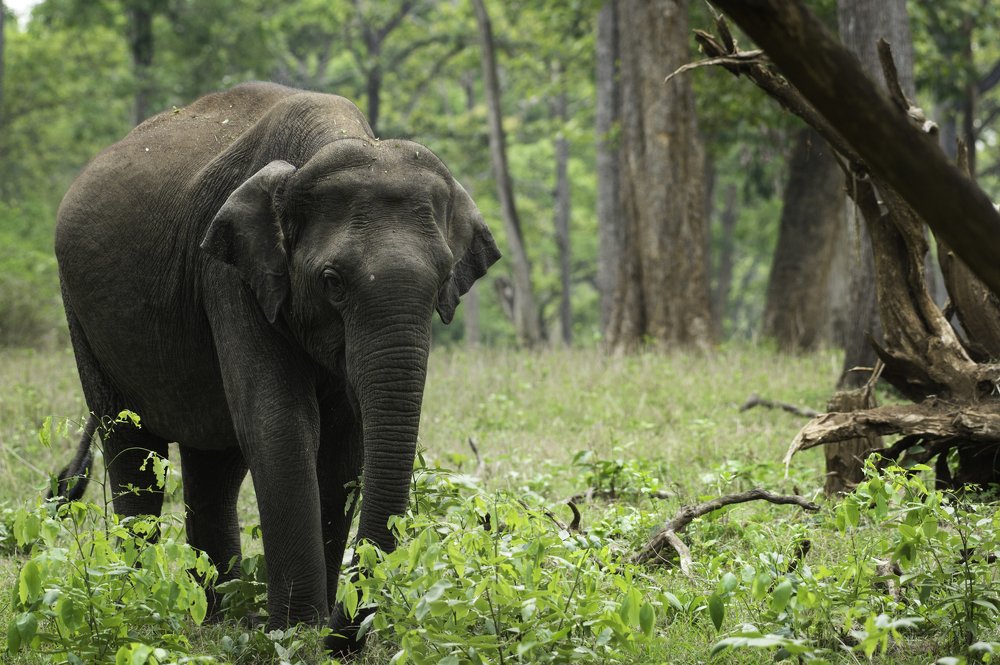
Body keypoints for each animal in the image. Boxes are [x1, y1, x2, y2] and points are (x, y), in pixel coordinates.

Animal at [49, 81, 500, 654]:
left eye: (444, 278)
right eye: (332, 281)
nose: (345, 632)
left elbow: (345, 443)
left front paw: (309, 629)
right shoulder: (230, 275)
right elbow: (280, 424)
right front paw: (298, 630)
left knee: (213, 463)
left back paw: (219, 617)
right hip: (80, 315)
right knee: (130, 448)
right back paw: (143, 603)